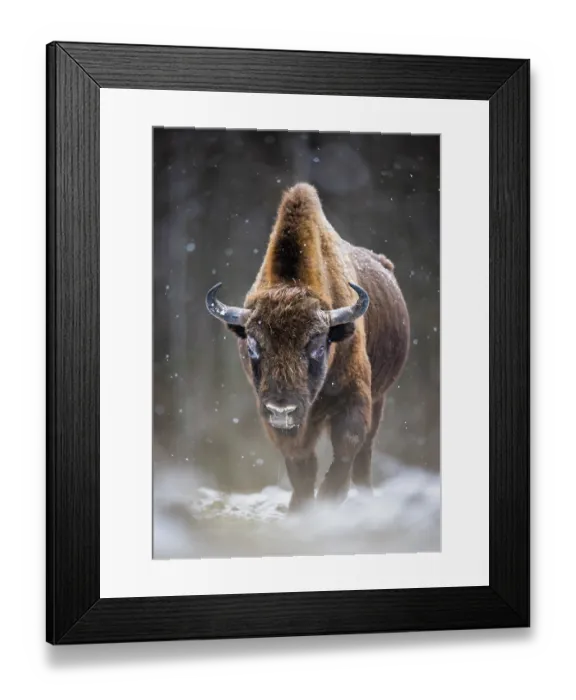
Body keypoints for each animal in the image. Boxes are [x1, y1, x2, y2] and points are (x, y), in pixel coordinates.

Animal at [206, 183, 410, 511]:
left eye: (315, 345)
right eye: (253, 346)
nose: (282, 407)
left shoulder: (355, 397)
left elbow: (348, 446)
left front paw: (330, 498)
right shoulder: (279, 420)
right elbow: (300, 463)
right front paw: (300, 507)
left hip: (380, 397)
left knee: (365, 453)